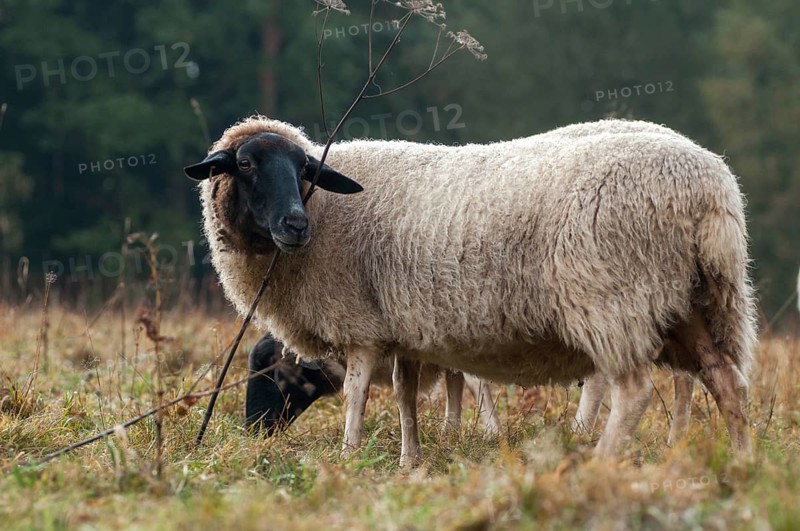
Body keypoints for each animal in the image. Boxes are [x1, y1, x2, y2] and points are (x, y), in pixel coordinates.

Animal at [245, 333, 500, 437]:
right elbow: (455, 383)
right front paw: (450, 433)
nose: (252, 430)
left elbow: (473, 381)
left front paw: (492, 433)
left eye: (273, 368)